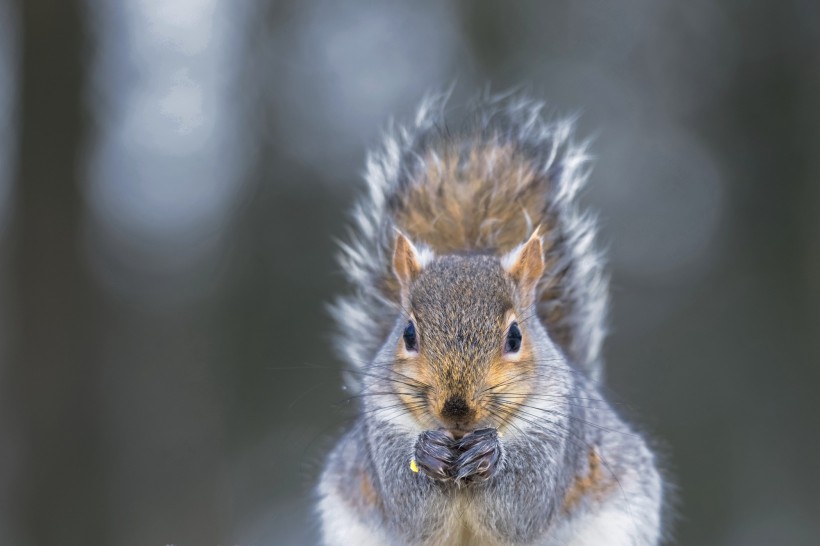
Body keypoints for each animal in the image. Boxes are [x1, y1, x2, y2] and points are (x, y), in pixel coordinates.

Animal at [316, 94, 668, 544]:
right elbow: (411, 509)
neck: (459, 437)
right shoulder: (382, 434)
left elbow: (521, 505)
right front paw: (427, 452)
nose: (456, 409)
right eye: (408, 334)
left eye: (515, 337)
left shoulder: (555, 441)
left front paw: (490, 453)